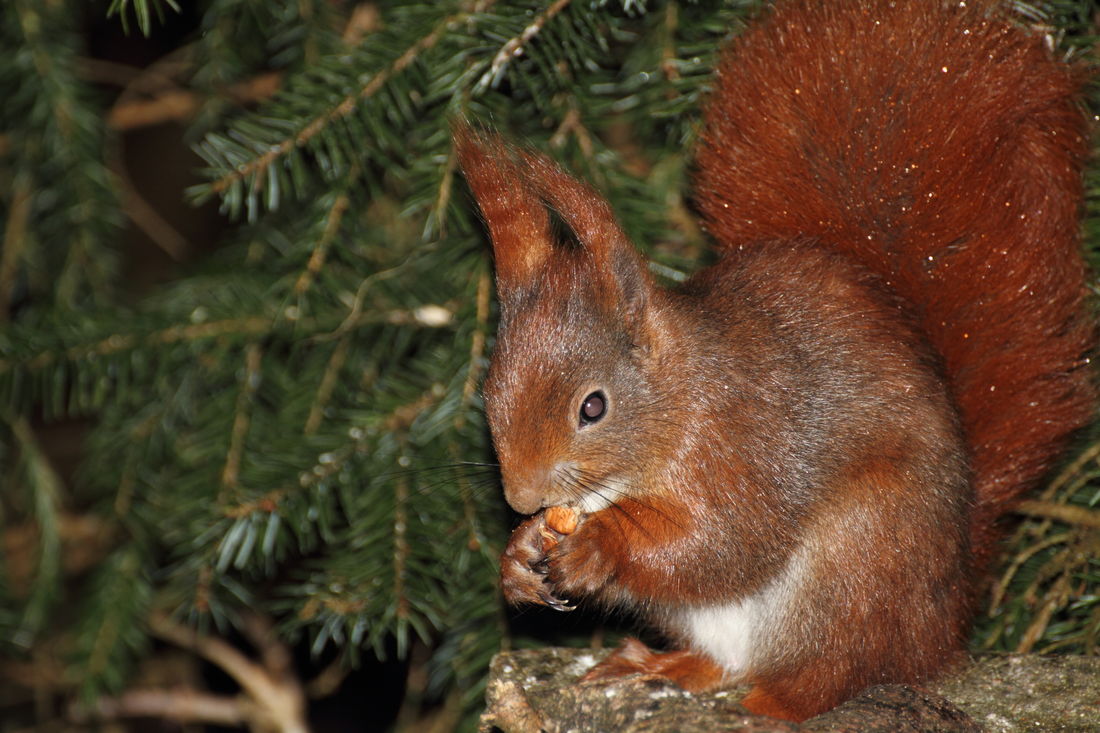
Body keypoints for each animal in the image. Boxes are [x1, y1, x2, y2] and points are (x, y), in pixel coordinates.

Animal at [453, 0, 1091, 717]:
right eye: (489, 393)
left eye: (593, 407)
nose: (521, 496)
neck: (681, 399)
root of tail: (946, 614)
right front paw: (517, 556)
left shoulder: (745, 446)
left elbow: (726, 542)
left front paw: (598, 545)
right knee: (726, 660)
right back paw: (659, 665)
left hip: (858, 558)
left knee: (842, 669)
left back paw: (775, 704)